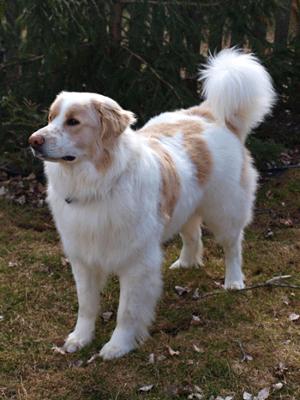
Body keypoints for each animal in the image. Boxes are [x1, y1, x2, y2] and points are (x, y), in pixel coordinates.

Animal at [29, 49, 276, 360]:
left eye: (73, 121)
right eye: (51, 118)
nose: (33, 141)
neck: (99, 183)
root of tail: (209, 114)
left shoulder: (137, 263)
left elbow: (127, 312)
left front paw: (117, 346)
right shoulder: (83, 259)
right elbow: (86, 306)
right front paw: (79, 339)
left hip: (225, 211)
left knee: (233, 247)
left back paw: (233, 282)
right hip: (185, 206)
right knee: (193, 235)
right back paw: (185, 263)